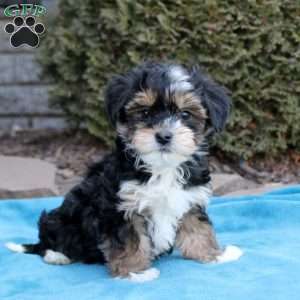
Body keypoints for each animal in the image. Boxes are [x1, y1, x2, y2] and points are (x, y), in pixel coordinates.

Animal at [5, 62, 243, 282]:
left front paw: (213, 255)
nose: (164, 136)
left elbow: (199, 228)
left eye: (185, 114)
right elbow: (130, 240)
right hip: (62, 219)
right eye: (145, 112)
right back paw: (57, 255)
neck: (161, 167)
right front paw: (135, 272)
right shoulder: (120, 208)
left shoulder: (189, 198)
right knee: (48, 238)